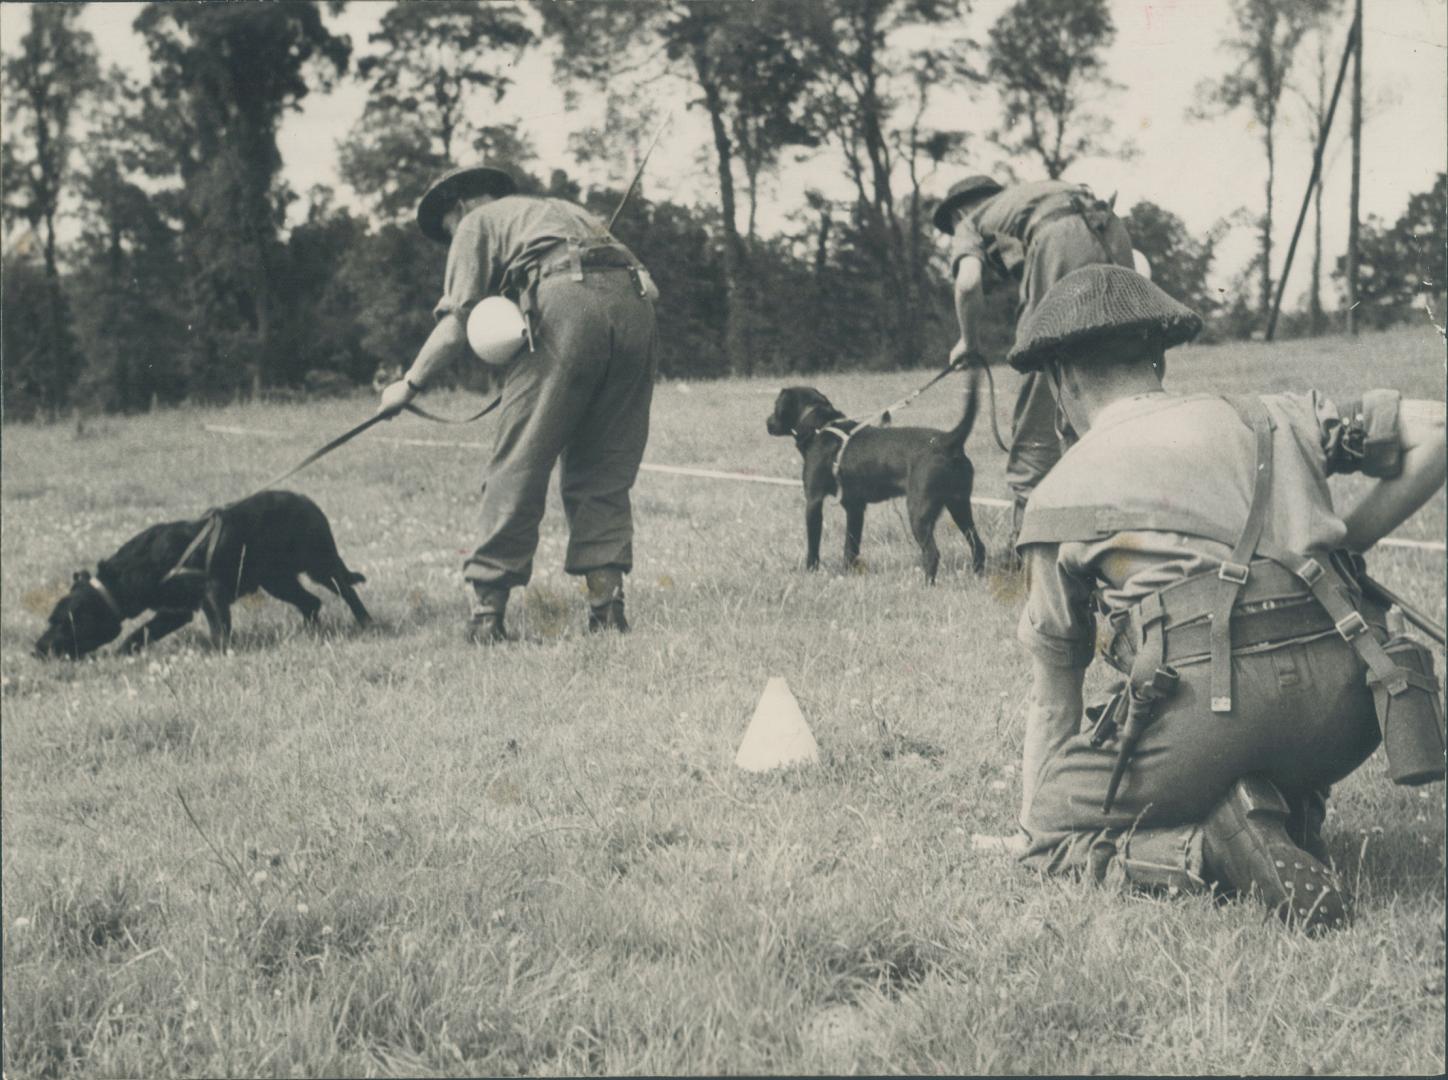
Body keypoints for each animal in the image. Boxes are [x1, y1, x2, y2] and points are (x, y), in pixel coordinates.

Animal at [38, 489, 370, 657]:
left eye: (62, 623)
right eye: (51, 620)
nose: (36, 649)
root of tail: (306, 501)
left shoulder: (210, 590)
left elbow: (219, 630)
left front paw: (219, 654)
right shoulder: (175, 611)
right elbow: (139, 634)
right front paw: (122, 654)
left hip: (320, 564)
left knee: (347, 590)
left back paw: (366, 623)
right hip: (276, 580)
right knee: (311, 602)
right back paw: (309, 633)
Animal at [764, 376, 990, 584]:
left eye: (775, 405)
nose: (767, 422)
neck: (820, 427)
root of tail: (948, 441)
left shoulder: (813, 501)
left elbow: (813, 546)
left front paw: (811, 572)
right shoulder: (854, 507)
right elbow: (850, 547)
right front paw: (848, 574)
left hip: (920, 511)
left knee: (932, 553)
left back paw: (927, 585)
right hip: (959, 504)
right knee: (978, 545)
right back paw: (977, 577)